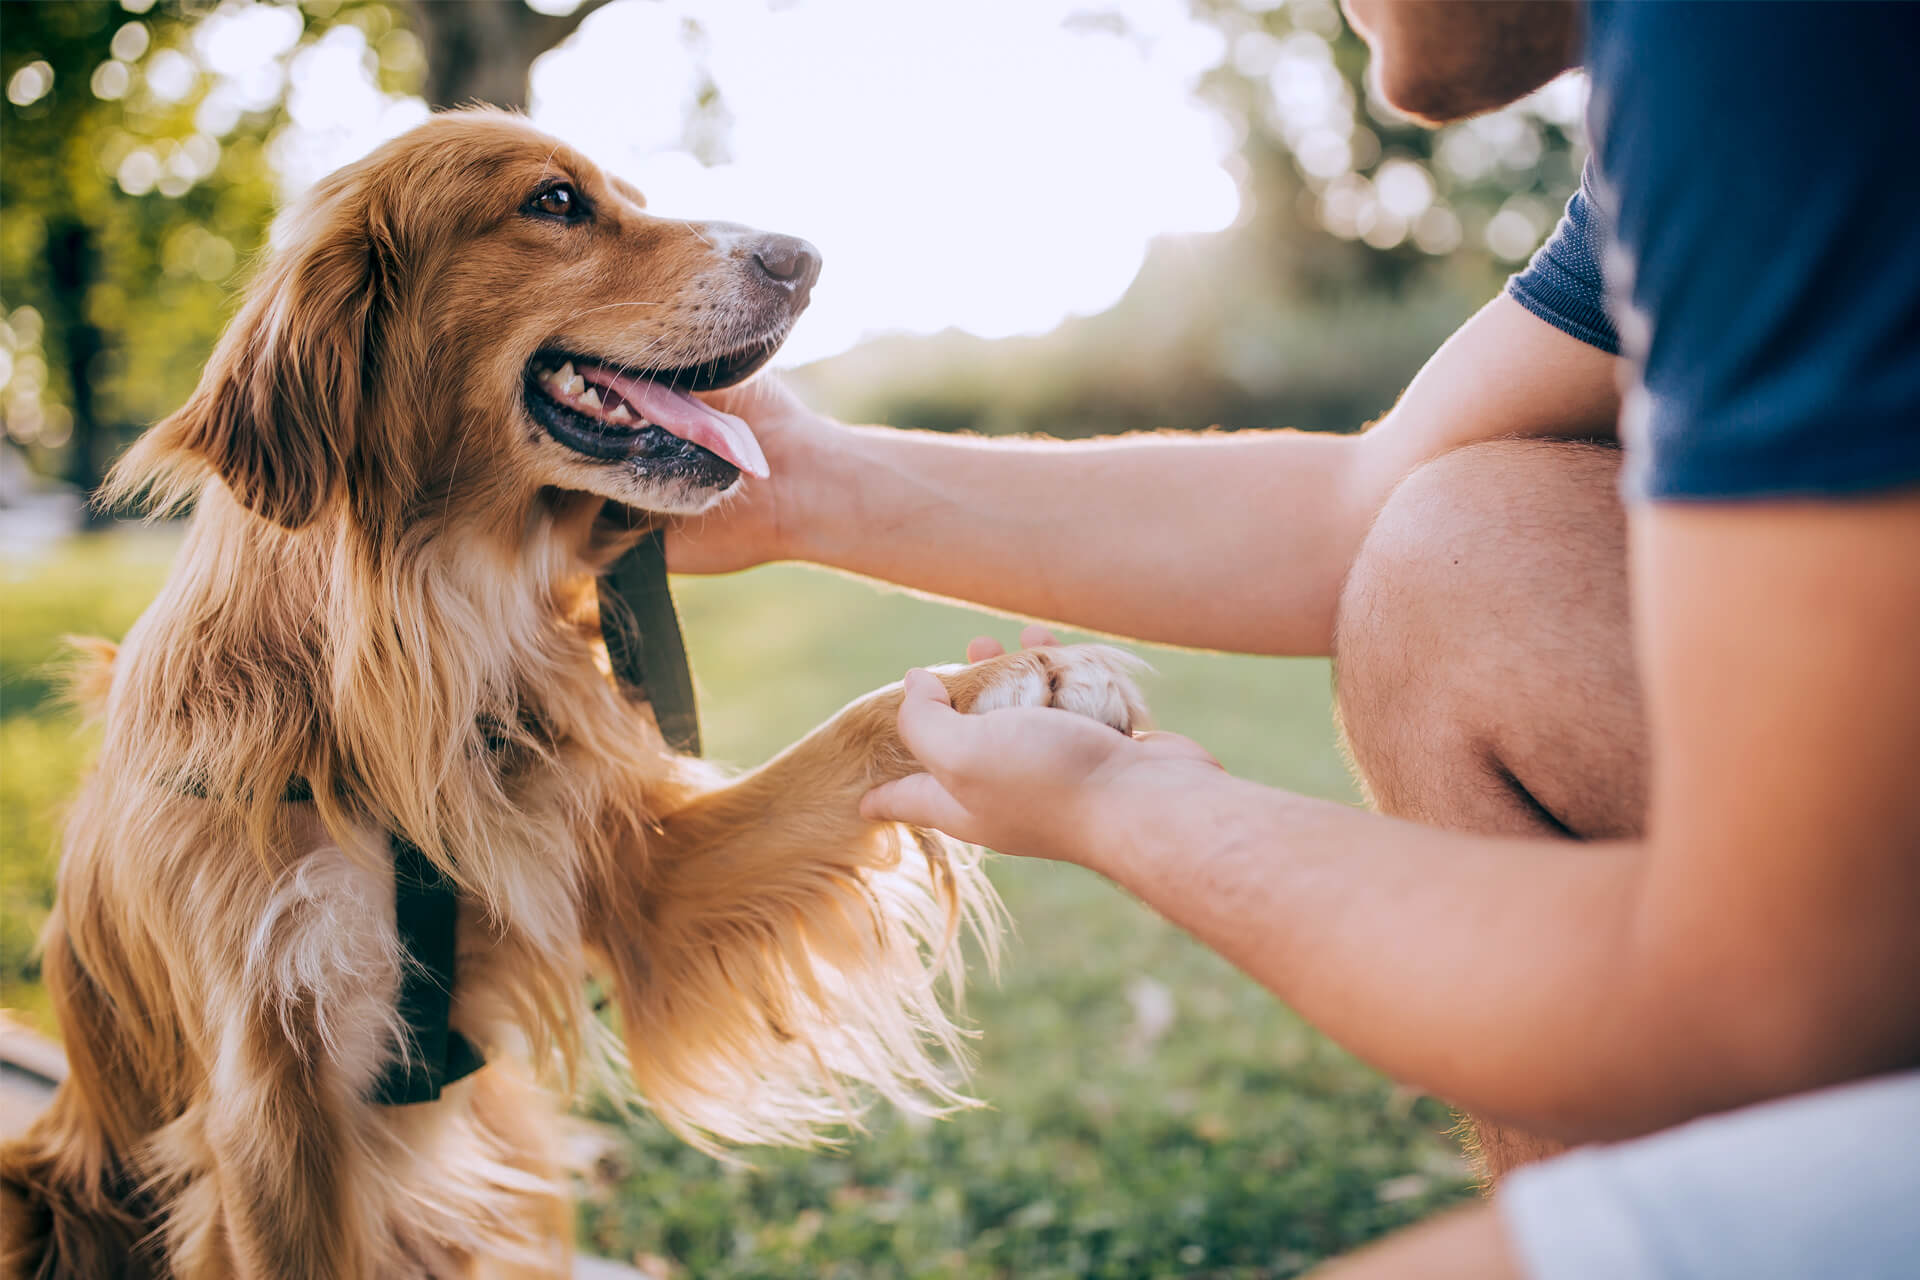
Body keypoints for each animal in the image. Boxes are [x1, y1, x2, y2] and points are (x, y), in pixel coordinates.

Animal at [0, 112, 1136, 1280]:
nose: (807, 259)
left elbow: (852, 732)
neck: (415, 646)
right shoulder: (268, 1107)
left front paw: (1010, 684)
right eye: (555, 202)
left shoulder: (637, 880)